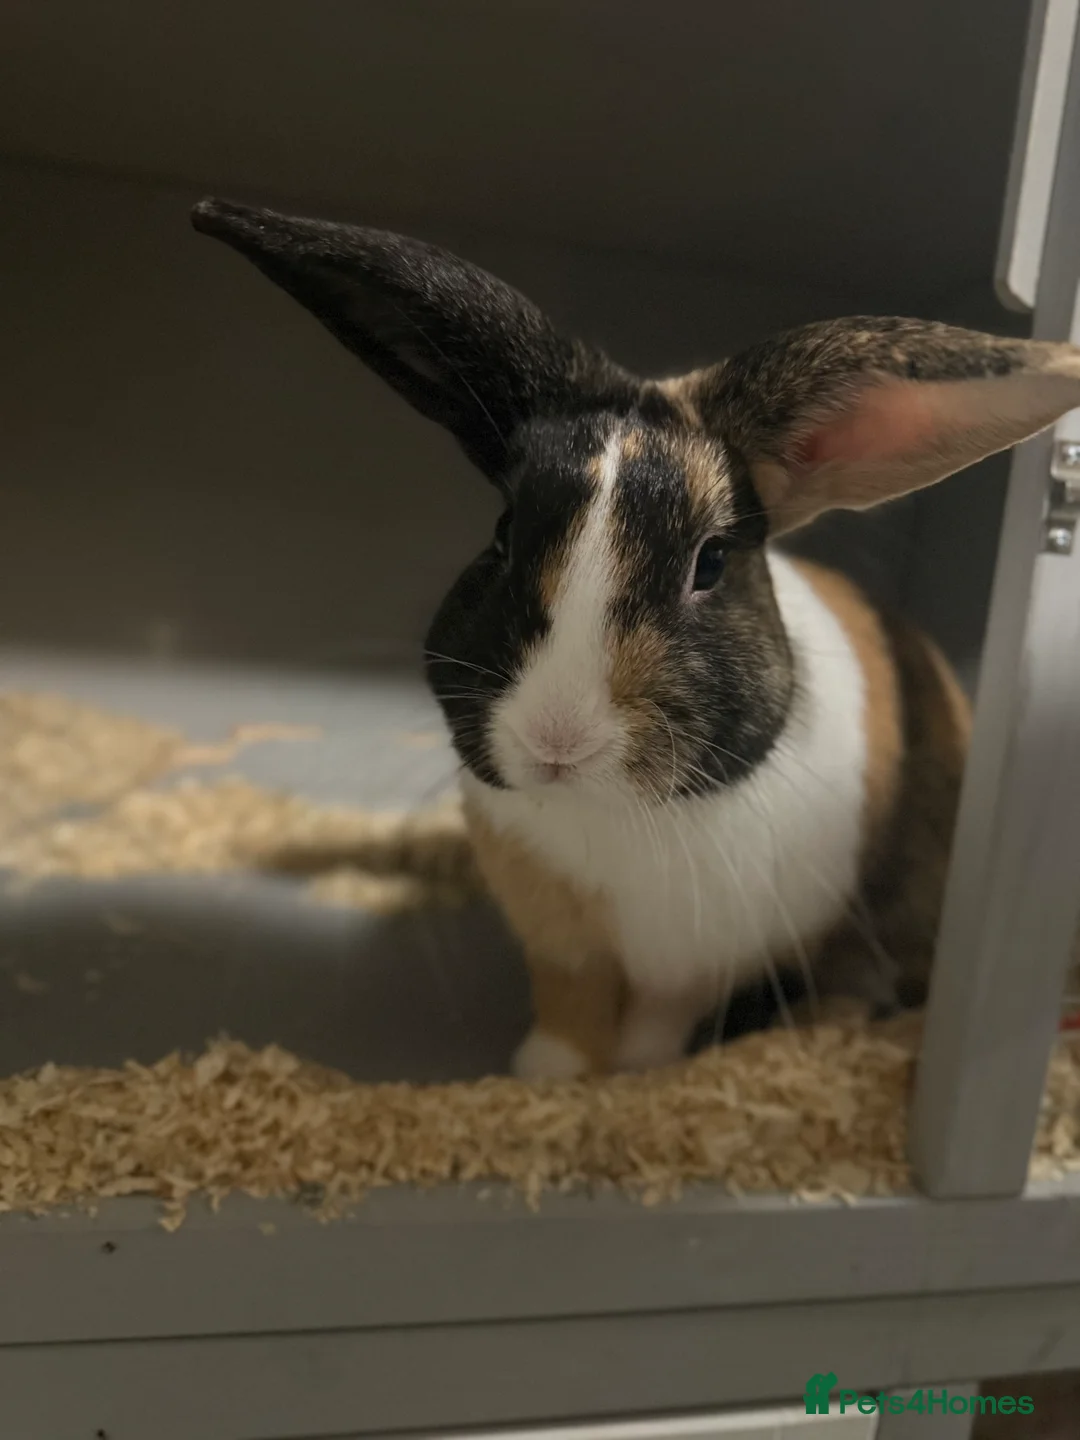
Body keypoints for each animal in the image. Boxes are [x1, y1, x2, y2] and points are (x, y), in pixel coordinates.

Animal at [192, 197, 1080, 1079]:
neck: (608, 816)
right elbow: (570, 1010)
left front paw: (635, 1075)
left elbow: (658, 1021)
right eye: (504, 534)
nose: (557, 741)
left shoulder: (705, 960)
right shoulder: (562, 945)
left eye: (711, 562)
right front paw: (547, 1076)